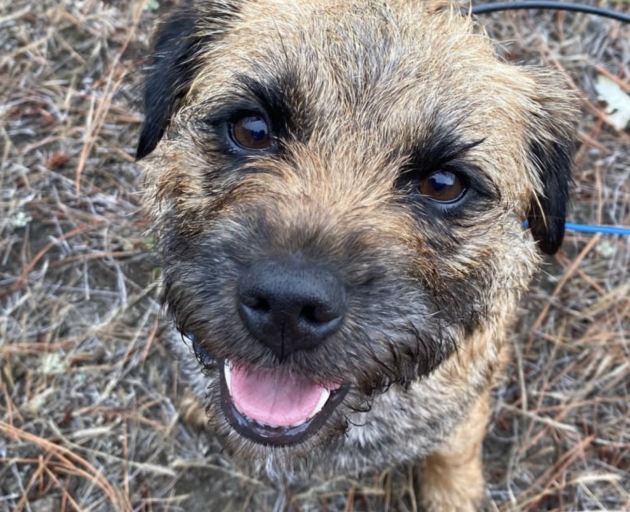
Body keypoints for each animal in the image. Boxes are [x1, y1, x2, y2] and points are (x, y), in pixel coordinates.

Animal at [137, 2, 576, 510]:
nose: (288, 304)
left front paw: (454, 491)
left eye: (444, 183)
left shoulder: (463, 412)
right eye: (252, 129)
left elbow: (454, 453)